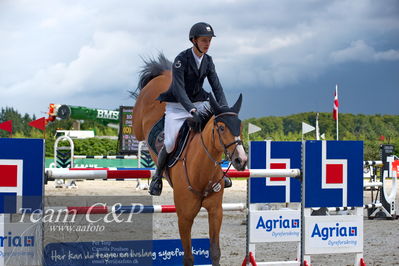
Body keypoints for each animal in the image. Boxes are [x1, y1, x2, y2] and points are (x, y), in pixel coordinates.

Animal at [133, 54, 248, 266]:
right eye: (221, 128)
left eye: (240, 126)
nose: (241, 160)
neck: (201, 170)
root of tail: (164, 73)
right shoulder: (184, 216)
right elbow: (188, 257)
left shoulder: (215, 212)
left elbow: (215, 251)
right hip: (138, 123)